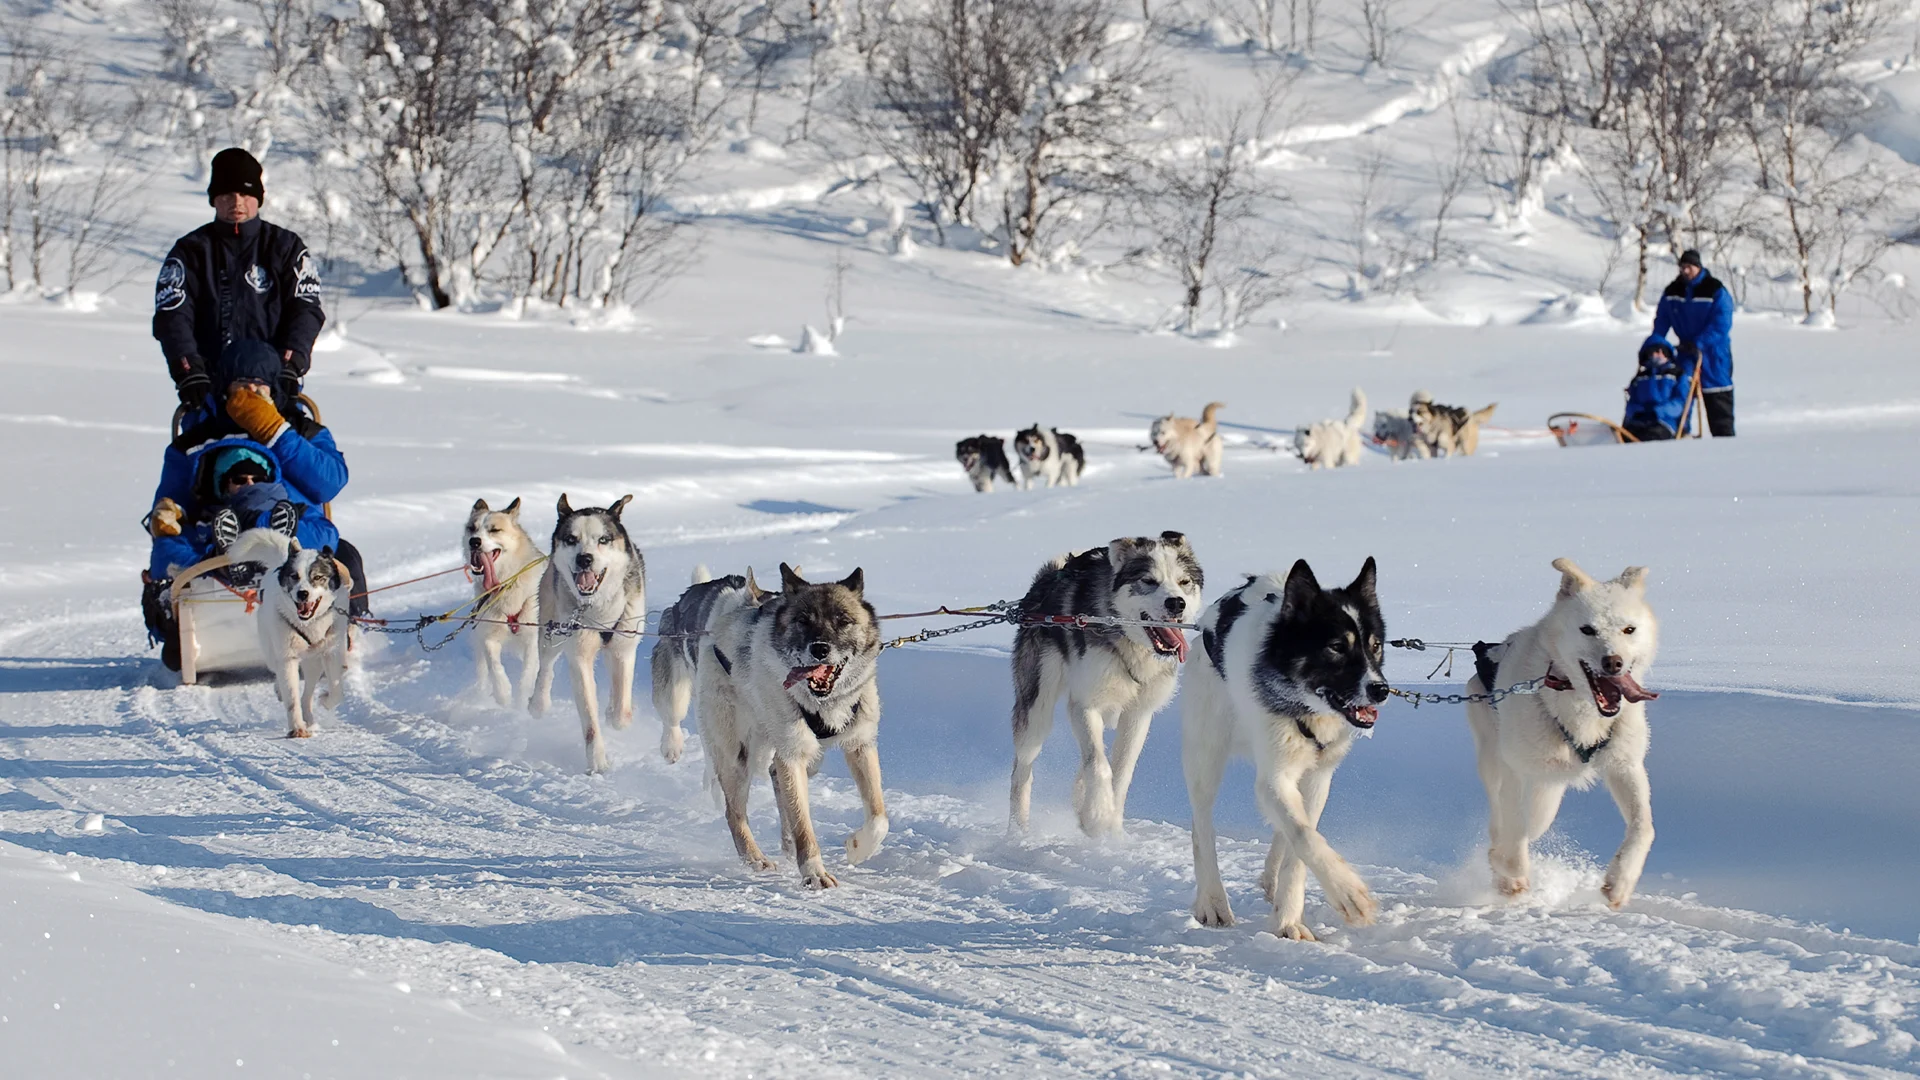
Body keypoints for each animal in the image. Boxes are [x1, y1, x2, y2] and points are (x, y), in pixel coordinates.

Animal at [529, 491, 648, 768]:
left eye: (603, 540)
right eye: (571, 539)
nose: (584, 558)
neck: (598, 607)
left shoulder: (624, 648)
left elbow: (622, 711)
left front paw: (614, 714)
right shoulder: (579, 657)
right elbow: (590, 722)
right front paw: (598, 761)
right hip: (552, 633)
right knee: (546, 667)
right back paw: (538, 703)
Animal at [702, 564, 887, 883]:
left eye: (843, 620)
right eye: (802, 620)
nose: (820, 648)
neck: (824, 703)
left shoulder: (860, 744)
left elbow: (878, 817)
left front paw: (858, 847)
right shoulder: (793, 753)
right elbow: (803, 823)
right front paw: (814, 873)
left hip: (809, 760)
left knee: (776, 779)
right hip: (737, 755)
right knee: (734, 813)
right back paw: (756, 858)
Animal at [1006, 530, 1198, 834]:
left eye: (1184, 582)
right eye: (1148, 581)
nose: (1177, 603)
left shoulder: (1138, 715)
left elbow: (1121, 772)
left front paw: (1111, 824)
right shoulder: (1084, 706)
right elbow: (1099, 765)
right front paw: (1097, 815)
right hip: (1037, 711)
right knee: (1023, 769)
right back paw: (1018, 830)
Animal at [1175, 557, 1390, 937]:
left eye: (1375, 645)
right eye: (1337, 646)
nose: (1381, 689)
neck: (1304, 708)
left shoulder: (1318, 777)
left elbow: (1301, 842)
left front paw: (1288, 917)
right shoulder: (1274, 777)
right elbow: (1304, 835)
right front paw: (1348, 893)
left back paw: (1270, 882)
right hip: (1206, 757)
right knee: (1202, 829)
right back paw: (1213, 902)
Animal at [1466, 557, 1666, 903]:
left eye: (1629, 629)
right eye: (1587, 629)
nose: (1613, 662)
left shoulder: (1625, 765)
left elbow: (1645, 827)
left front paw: (1620, 881)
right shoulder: (1517, 770)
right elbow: (1516, 834)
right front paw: (1509, 870)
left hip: (1550, 780)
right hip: (1496, 761)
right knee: (1504, 818)